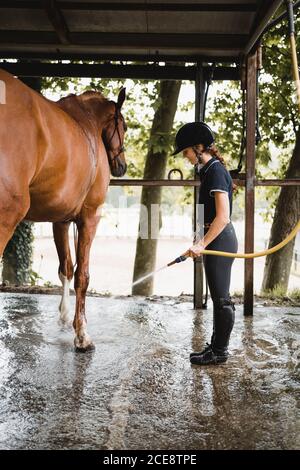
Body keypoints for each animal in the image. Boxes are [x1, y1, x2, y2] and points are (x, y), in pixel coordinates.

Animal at [0, 68, 127, 350]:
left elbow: (65, 268)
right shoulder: (89, 217)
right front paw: (81, 334)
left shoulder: (61, 220)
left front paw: (65, 315)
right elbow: (82, 275)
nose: (121, 166)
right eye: (123, 127)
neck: (89, 125)